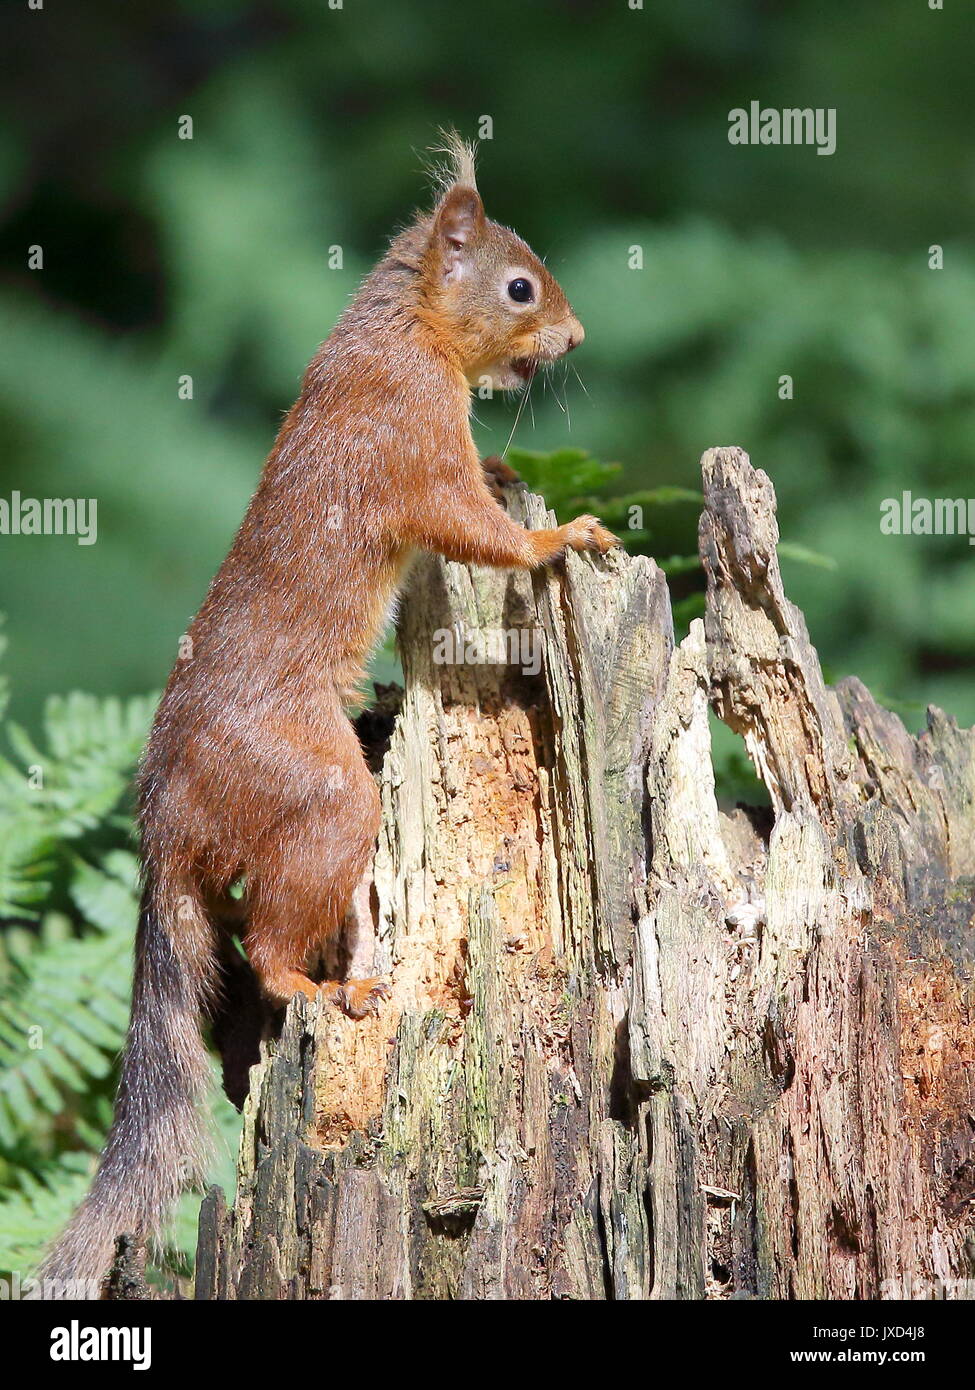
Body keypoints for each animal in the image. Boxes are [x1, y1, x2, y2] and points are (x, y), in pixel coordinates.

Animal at [43, 135, 614, 1284]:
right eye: (519, 287)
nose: (576, 336)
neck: (402, 330)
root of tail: (167, 825)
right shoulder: (414, 441)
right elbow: (474, 527)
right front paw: (561, 536)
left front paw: (516, 470)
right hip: (318, 798)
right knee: (268, 939)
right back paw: (315, 988)